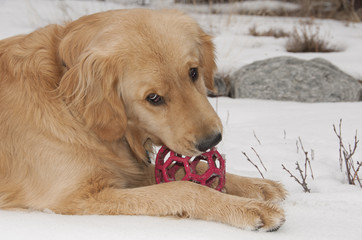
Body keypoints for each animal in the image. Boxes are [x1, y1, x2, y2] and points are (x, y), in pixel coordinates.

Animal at [0, 8, 288, 231]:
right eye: (154, 98)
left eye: (194, 72)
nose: (212, 140)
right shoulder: (76, 197)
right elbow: (183, 188)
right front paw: (251, 208)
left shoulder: (130, 168)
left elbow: (190, 172)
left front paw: (255, 185)